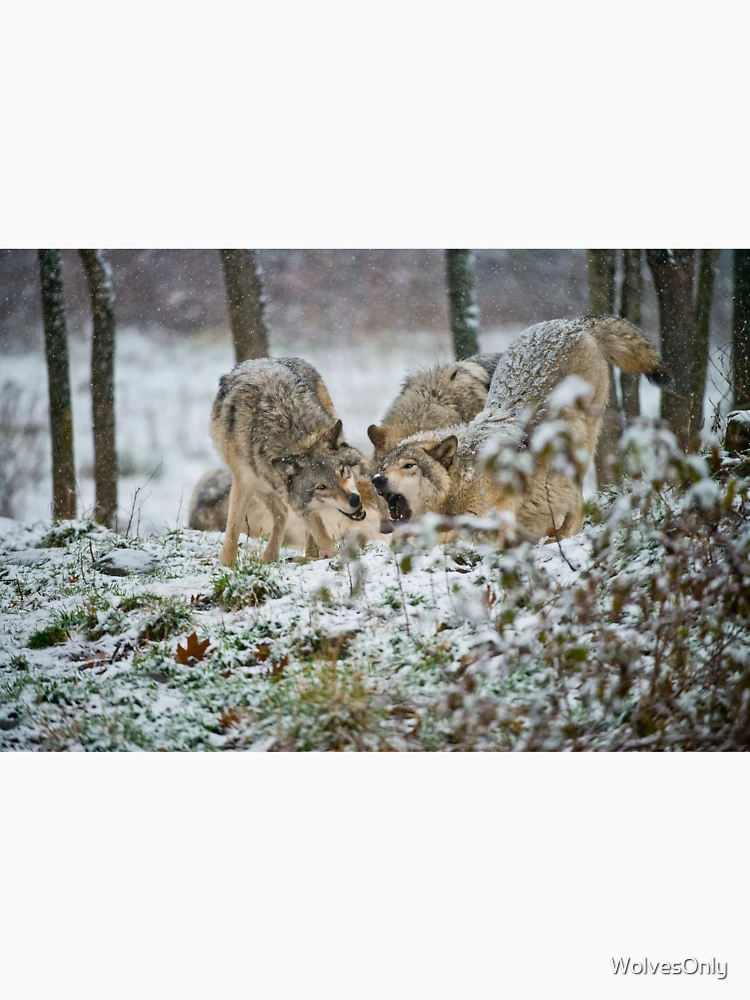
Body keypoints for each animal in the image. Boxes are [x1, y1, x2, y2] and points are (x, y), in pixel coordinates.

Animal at [210, 357, 370, 564]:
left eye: (342, 471)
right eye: (322, 487)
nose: (354, 499)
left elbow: (318, 528)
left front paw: (329, 557)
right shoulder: (244, 482)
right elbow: (232, 530)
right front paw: (226, 566)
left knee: (289, 515)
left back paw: (307, 556)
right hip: (261, 482)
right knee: (282, 513)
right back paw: (272, 556)